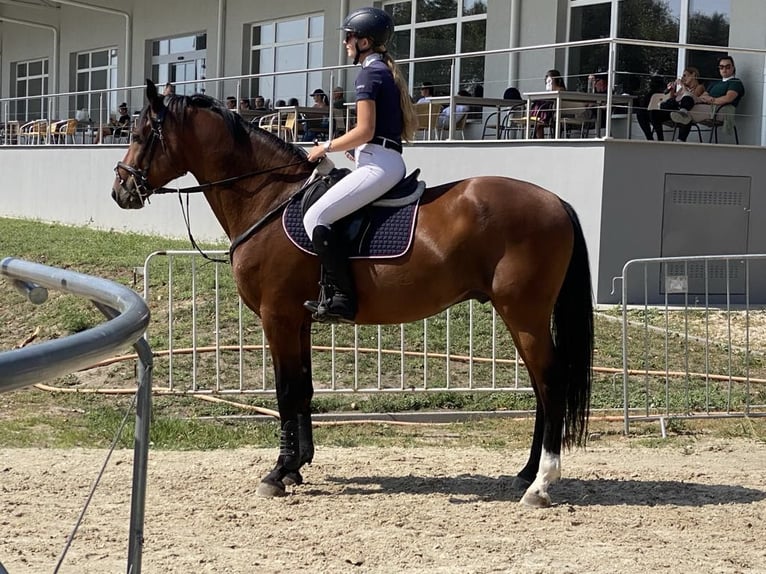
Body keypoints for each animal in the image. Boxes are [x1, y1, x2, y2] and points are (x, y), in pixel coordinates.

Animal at [111, 80, 596, 508]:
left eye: (139, 134)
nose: (120, 190)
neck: (269, 197)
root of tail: (556, 201)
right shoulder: (299, 319)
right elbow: (304, 389)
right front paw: (297, 465)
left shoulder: (277, 316)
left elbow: (286, 391)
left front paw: (277, 473)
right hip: (520, 317)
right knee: (541, 387)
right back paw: (525, 474)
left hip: (524, 315)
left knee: (551, 383)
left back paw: (541, 484)